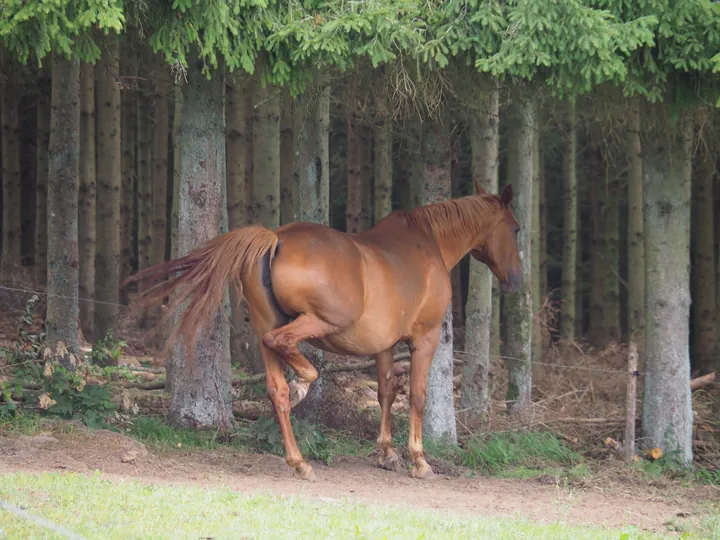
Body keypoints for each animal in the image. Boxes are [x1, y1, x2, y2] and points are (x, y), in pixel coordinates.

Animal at [122, 182, 516, 480]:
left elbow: (386, 392)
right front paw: (418, 460)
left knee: (276, 389)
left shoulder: (384, 345)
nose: (514, 278)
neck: (426, 243)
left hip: (269, 324)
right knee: (283, 346)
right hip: (317, 322)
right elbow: (416, 395)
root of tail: (275, 238)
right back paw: (303, 382)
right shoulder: (425, 337)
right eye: (515, 228)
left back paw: (298, 460)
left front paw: (386, 454)